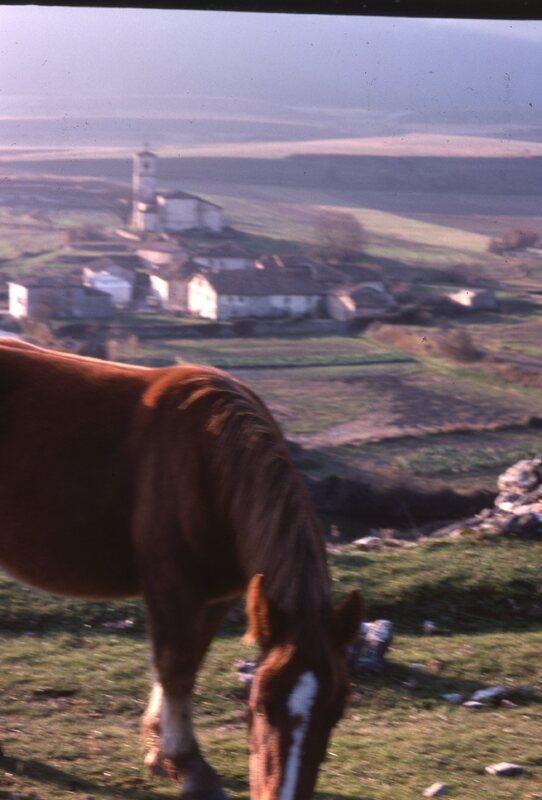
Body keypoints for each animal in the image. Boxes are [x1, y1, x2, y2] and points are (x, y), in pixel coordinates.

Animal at [0, 339, 362, 800]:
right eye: (260, 703)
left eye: (337, 708)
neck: (209, 461)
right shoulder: (170, 586)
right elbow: (174, 666)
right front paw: (187, 764)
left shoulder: (222, 594)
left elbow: (190, 661)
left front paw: (161, 751)